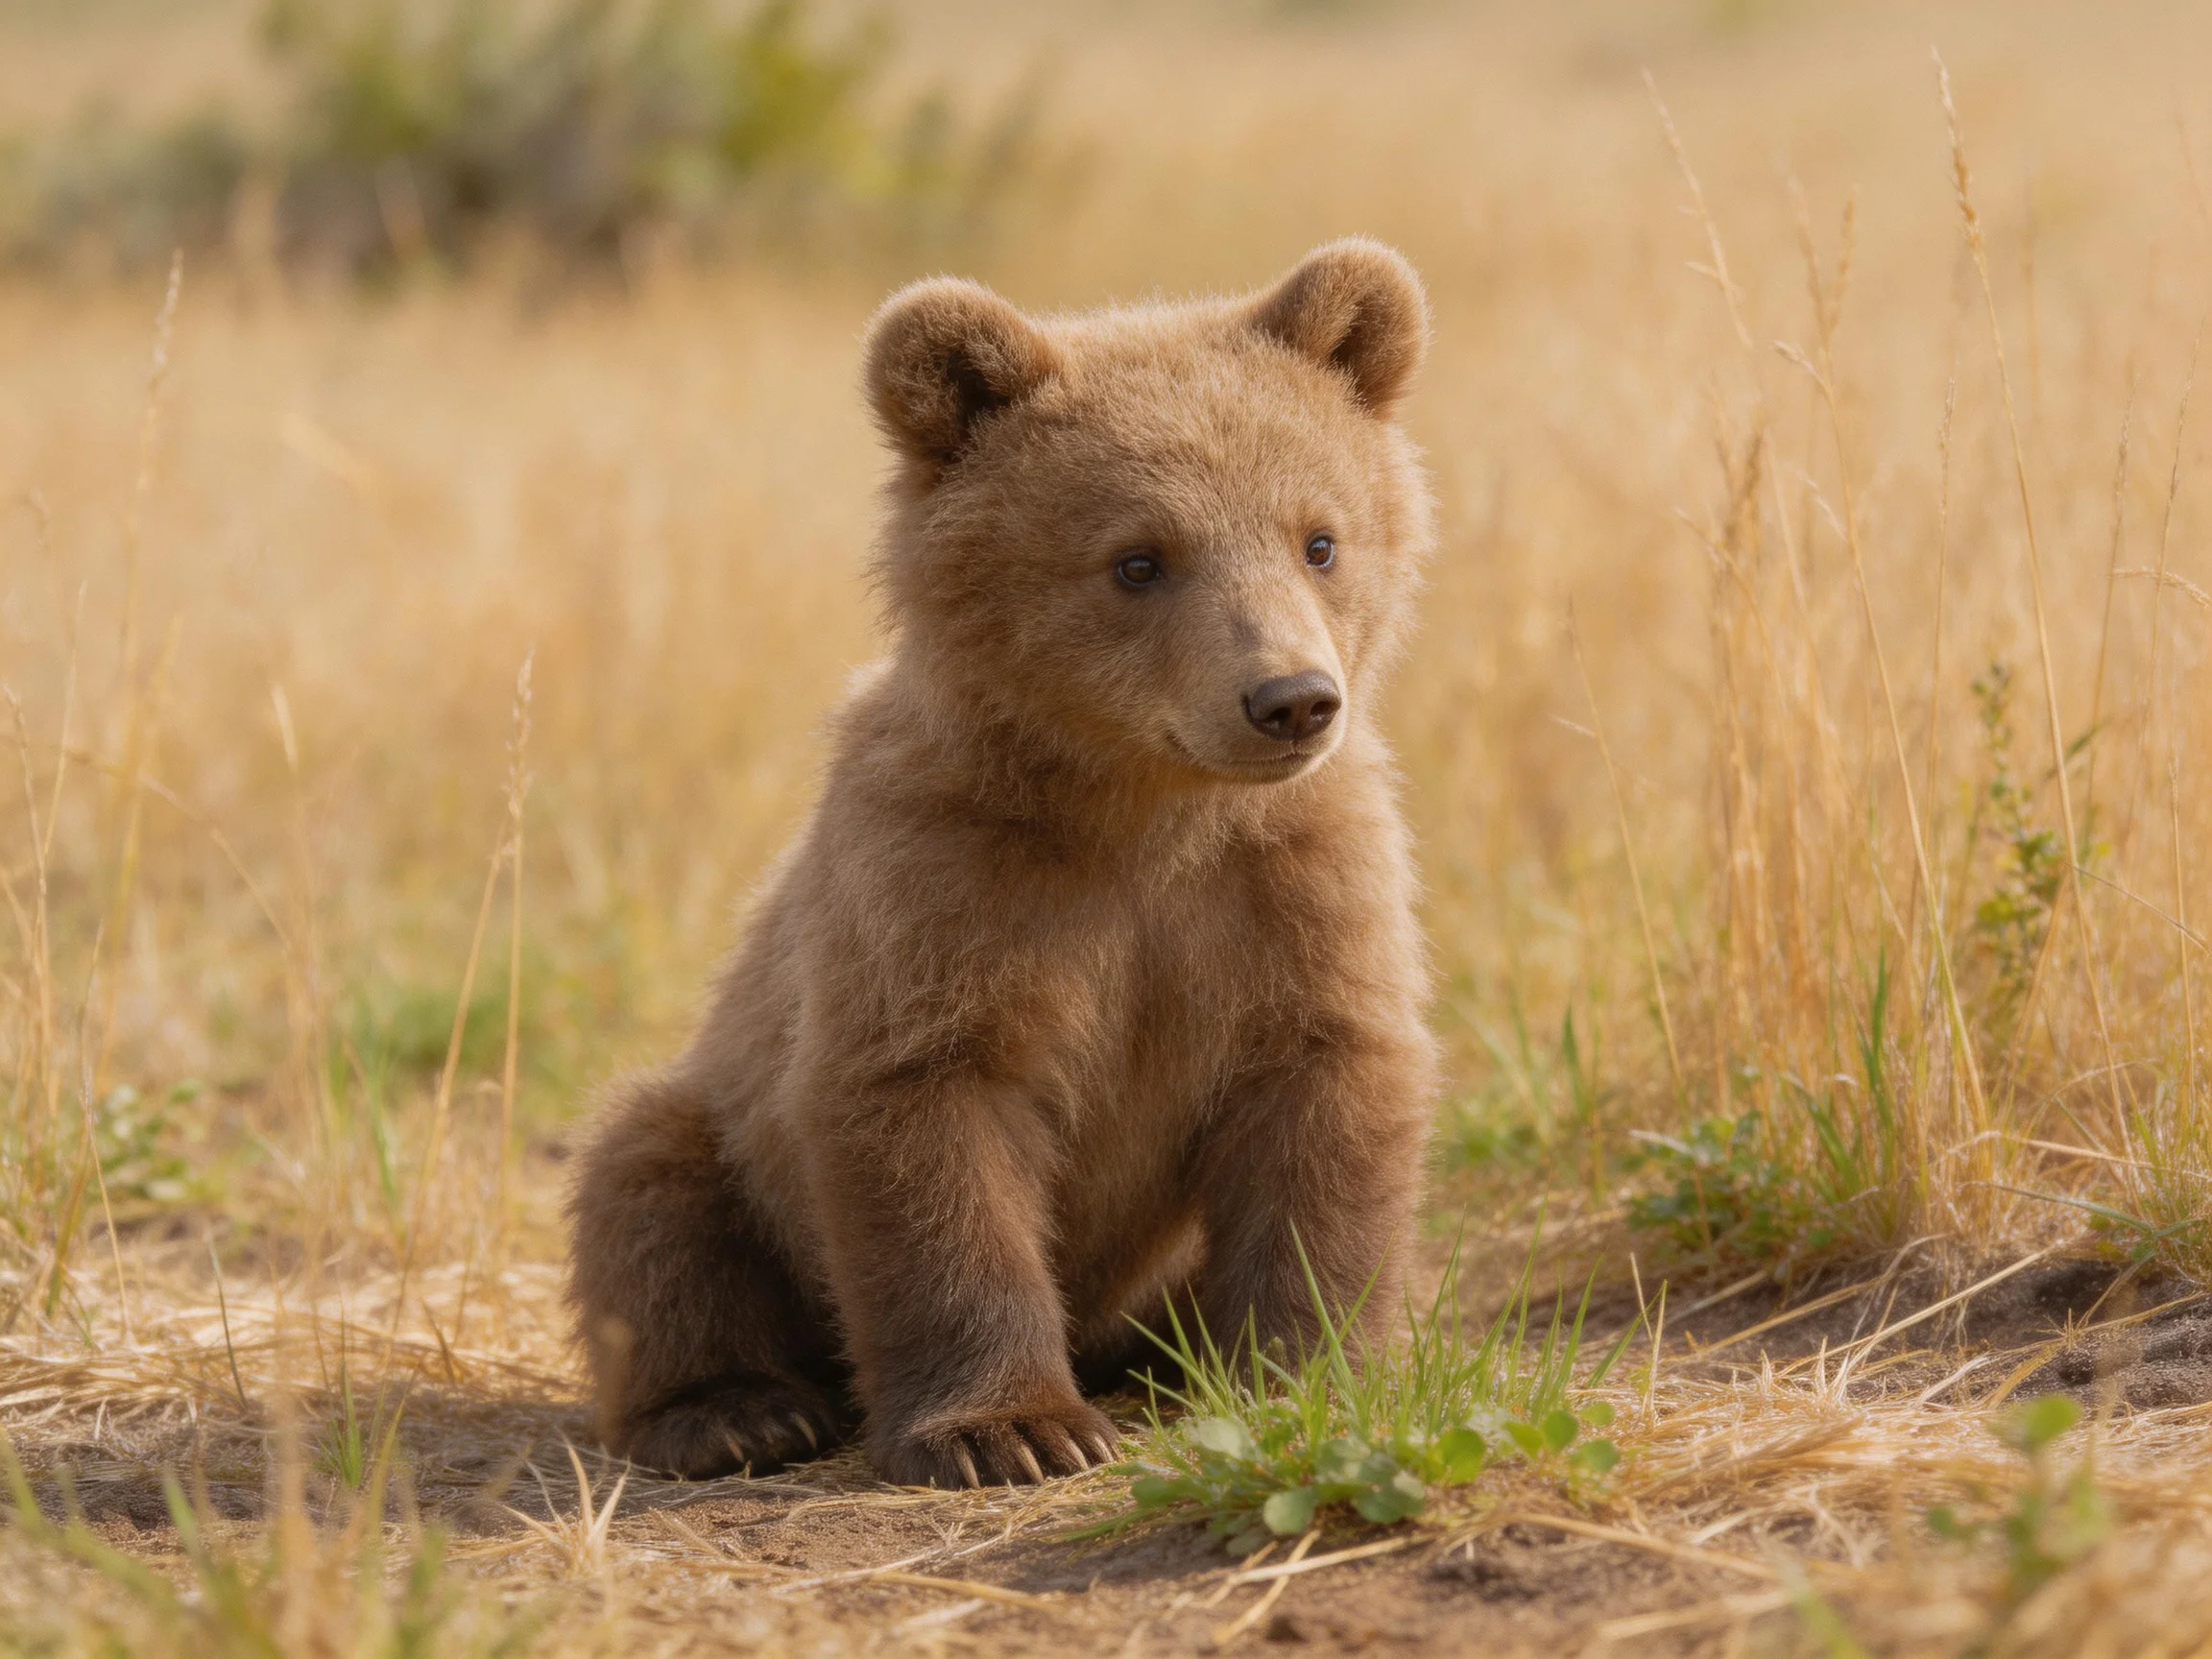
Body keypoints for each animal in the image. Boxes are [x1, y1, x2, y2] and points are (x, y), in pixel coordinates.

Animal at [565, 238, 1440, 1488]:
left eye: (1320, 538)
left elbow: (1325, 1097)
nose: (1290, 700)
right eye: (1138, 560)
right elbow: (930, 1121)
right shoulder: (944, 882)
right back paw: (737, 1412)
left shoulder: (1296, 884)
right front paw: (1010, 1429)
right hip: (721, 1125)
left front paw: (1308, 1373)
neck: (1144, 810)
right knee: (647, 1185)